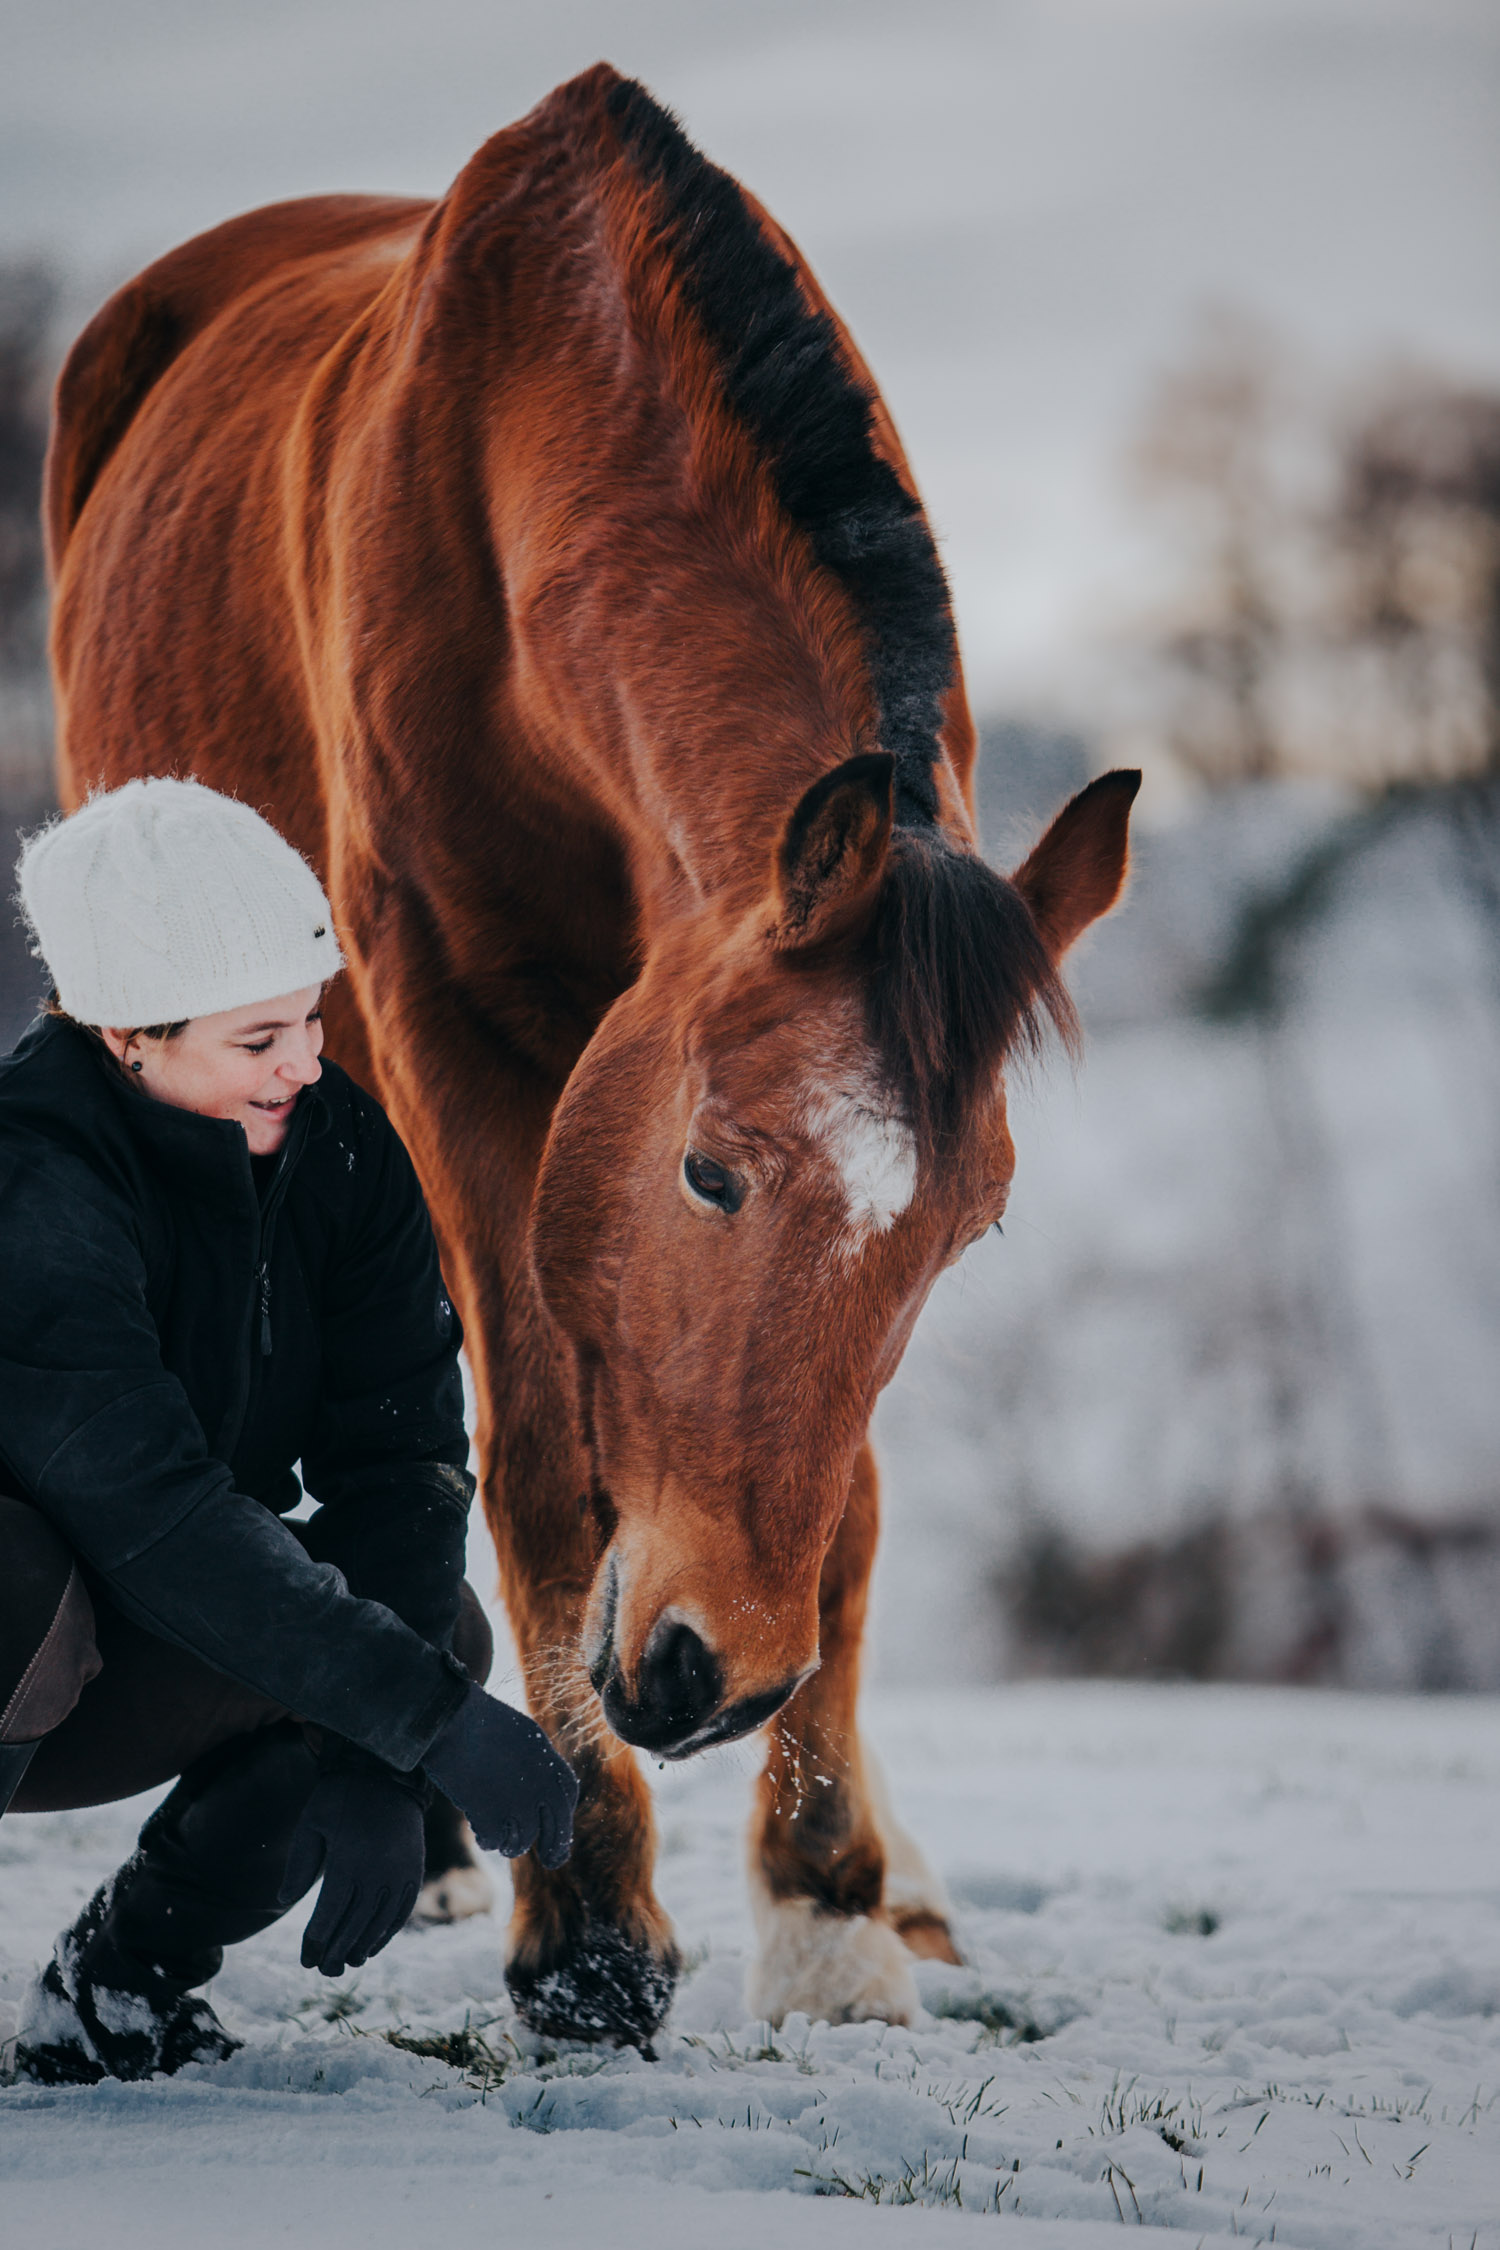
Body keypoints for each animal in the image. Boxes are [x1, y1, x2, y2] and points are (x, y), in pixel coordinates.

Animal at [44, 65, 1137, 2043]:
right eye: (707, 1168)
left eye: (966, 1237)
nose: (719, 1673)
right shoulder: (458, 1042)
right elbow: (541, 1456)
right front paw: (590, 1932)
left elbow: (847, 1500)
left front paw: (833, 1903)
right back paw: (442, 1845)